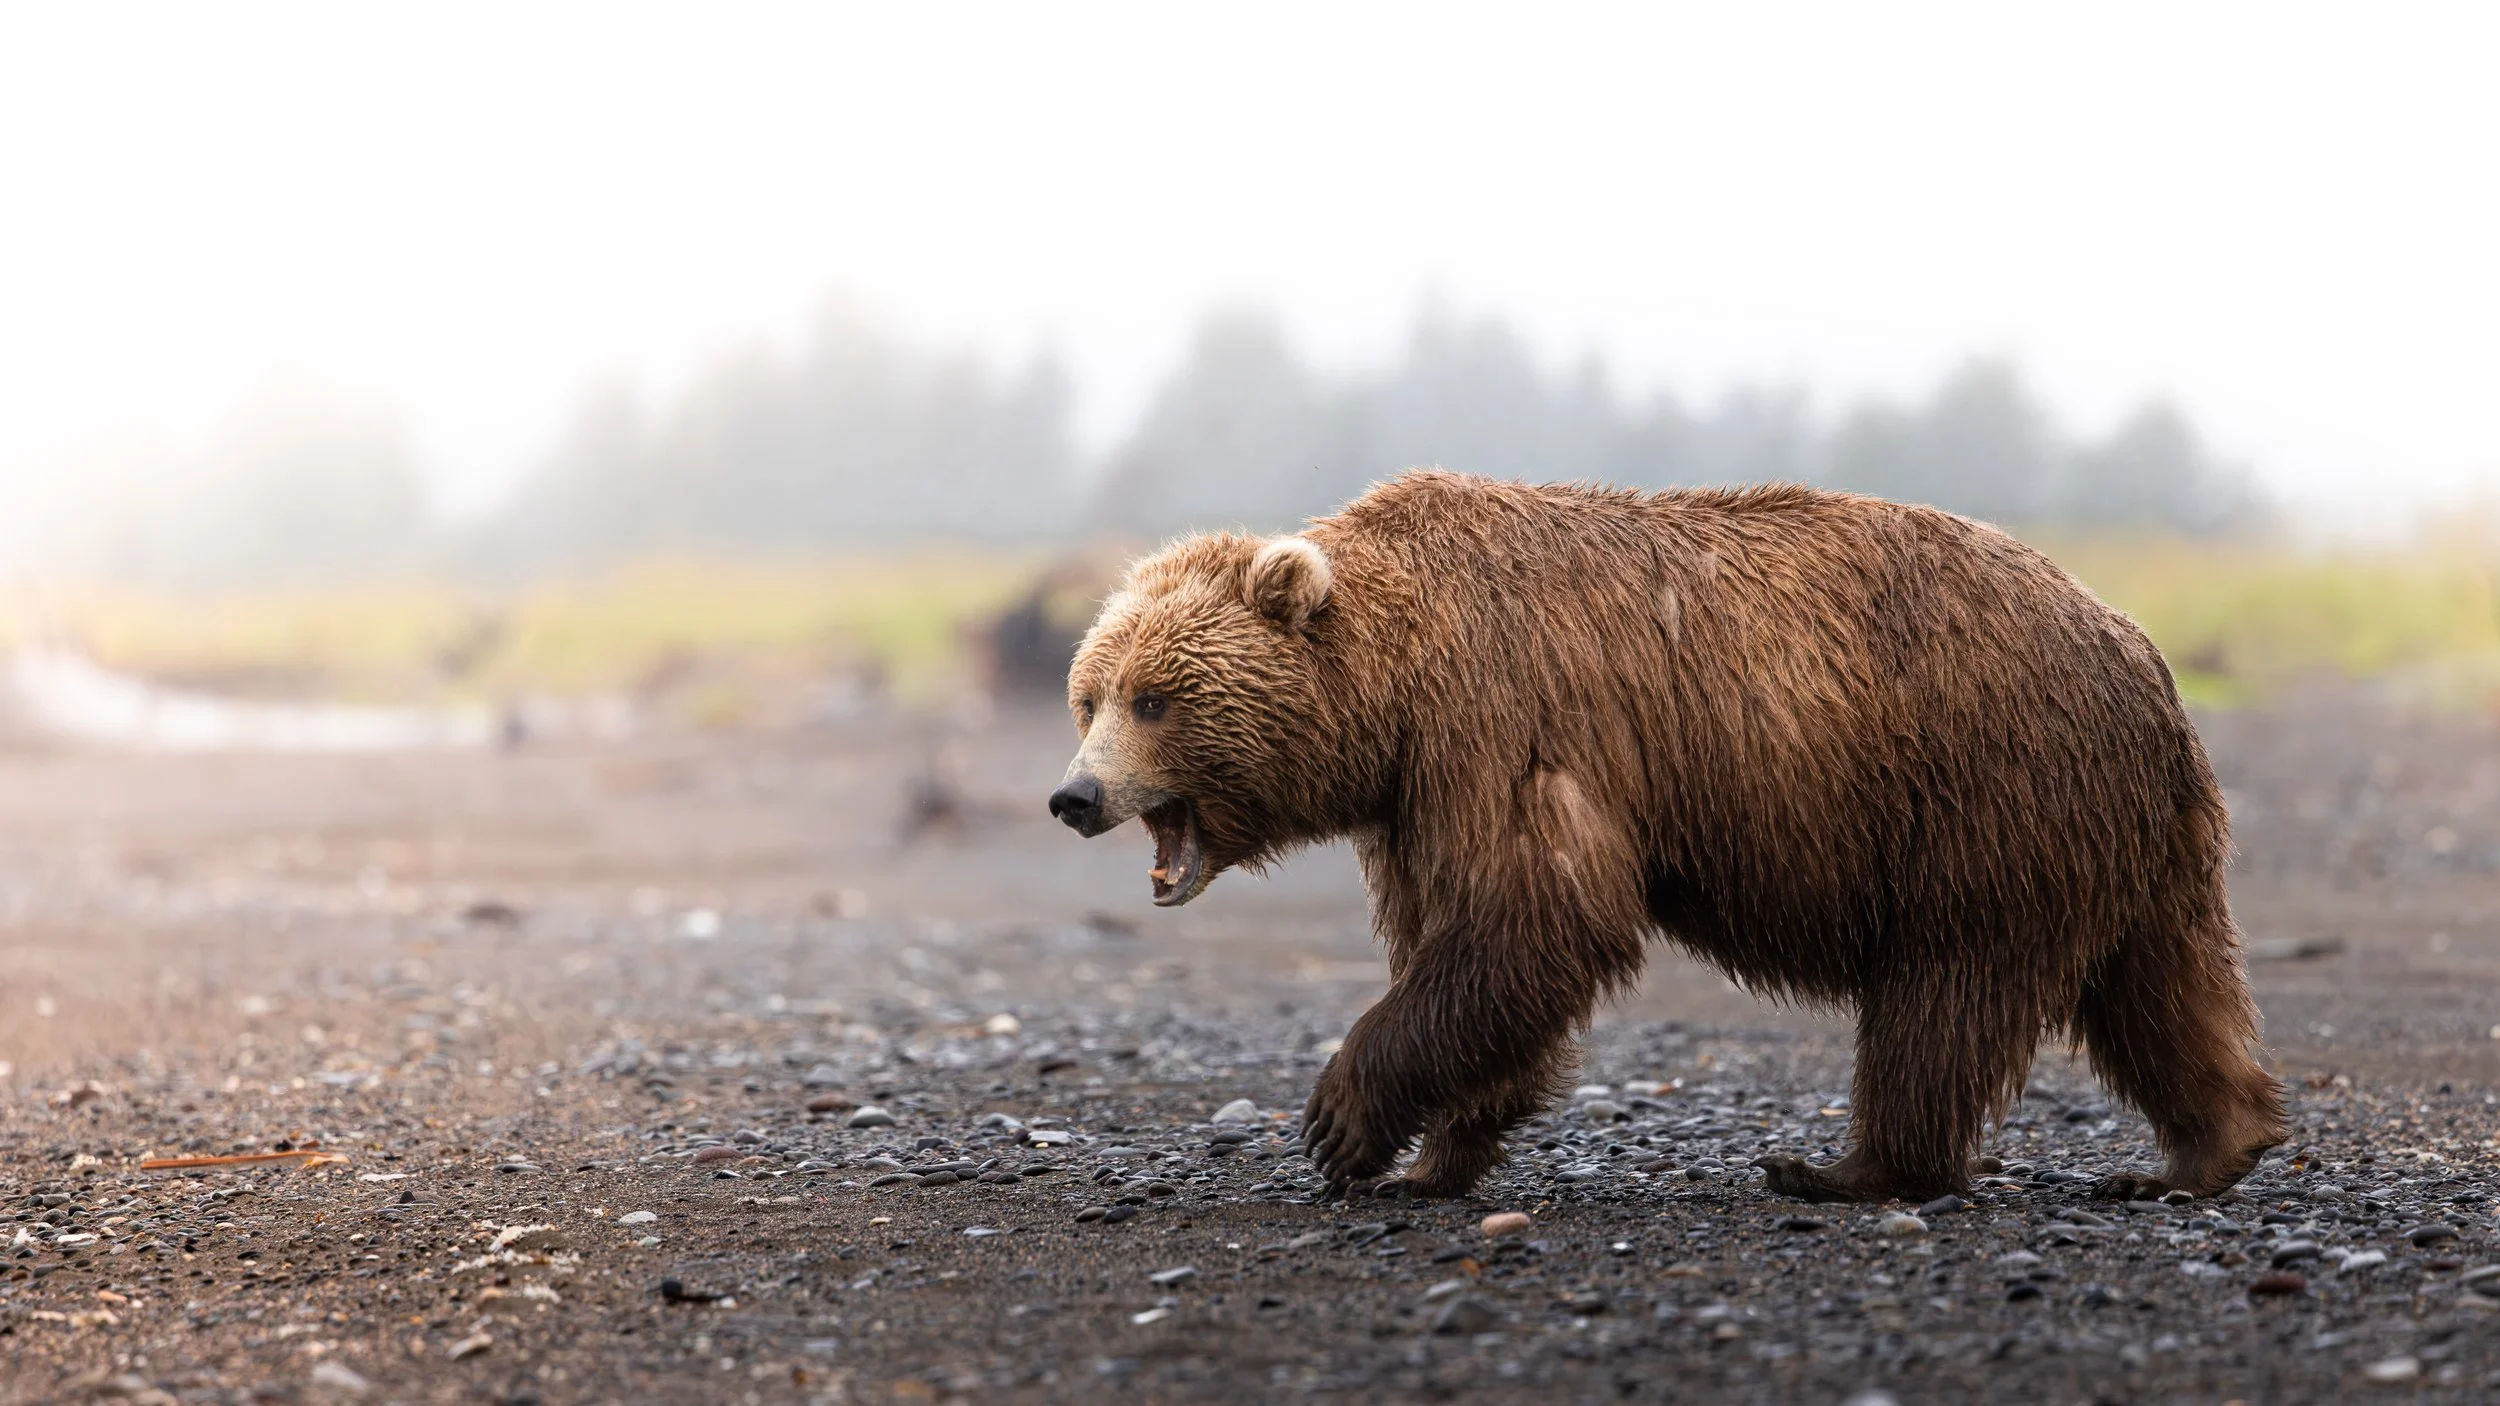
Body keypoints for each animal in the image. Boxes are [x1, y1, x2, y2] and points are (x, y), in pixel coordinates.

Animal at [1048, 470, 2288, 1204]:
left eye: (1154, 698)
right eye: (1088, 693)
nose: (1074, 795)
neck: (1393, 682)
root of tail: (2140, 649)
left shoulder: (1505, 720)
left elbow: (1534, 916)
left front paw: (1341, 1120)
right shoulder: (1415, 797)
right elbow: (1468, 940)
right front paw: (1437, 1154)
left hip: (1984, 788)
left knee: (1946, 987)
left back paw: (1846, 1164)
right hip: (2129, 831)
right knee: (2160, 981)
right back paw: (2209, 1145)